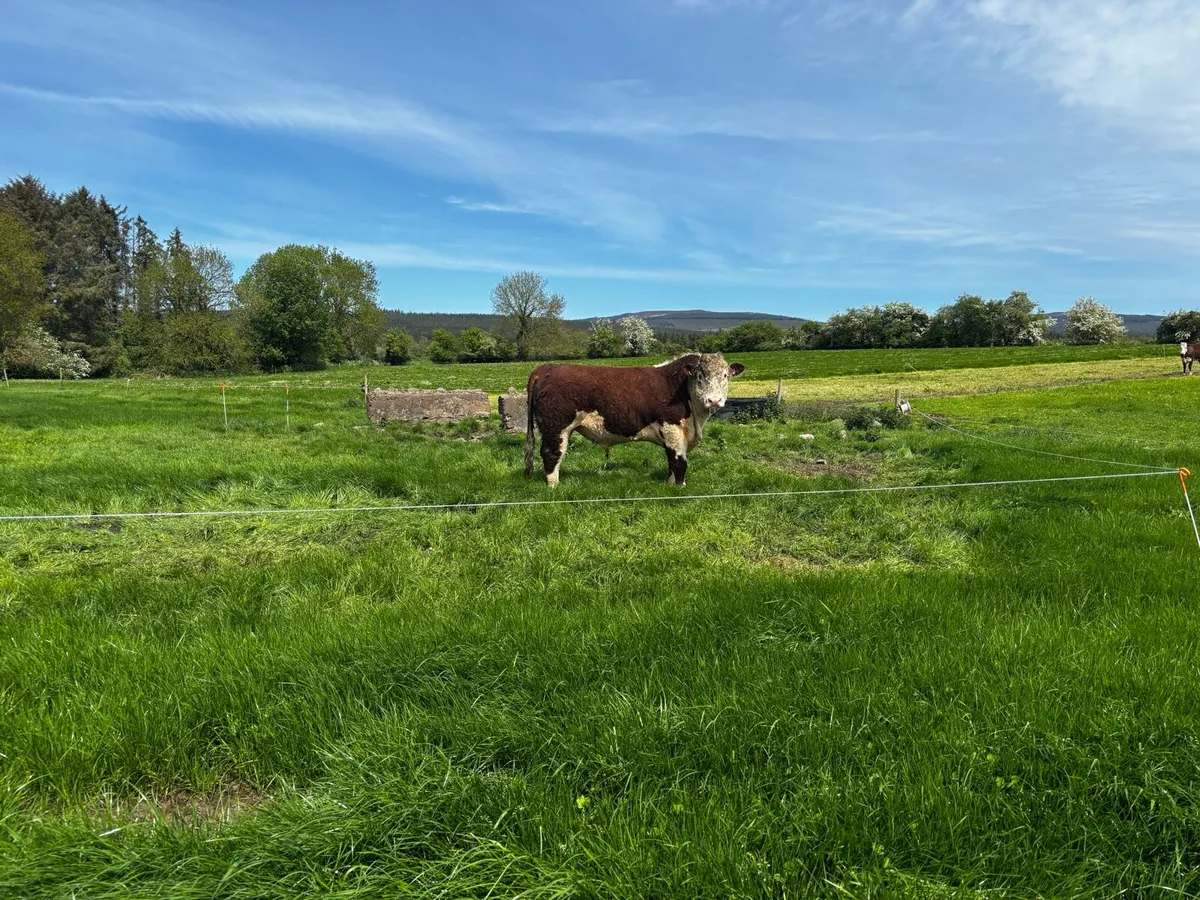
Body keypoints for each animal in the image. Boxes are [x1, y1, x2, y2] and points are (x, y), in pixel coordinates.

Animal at [523, 353, 745, 488]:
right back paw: (554, 486)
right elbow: (679, 461)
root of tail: (545, 369)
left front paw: (671, 484)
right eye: (700, 376)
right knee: (552, 454)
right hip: (556, 427)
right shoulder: (672, 427)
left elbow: (671, 461)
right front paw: (680, 487)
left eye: (726, 375)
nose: (714, 400)